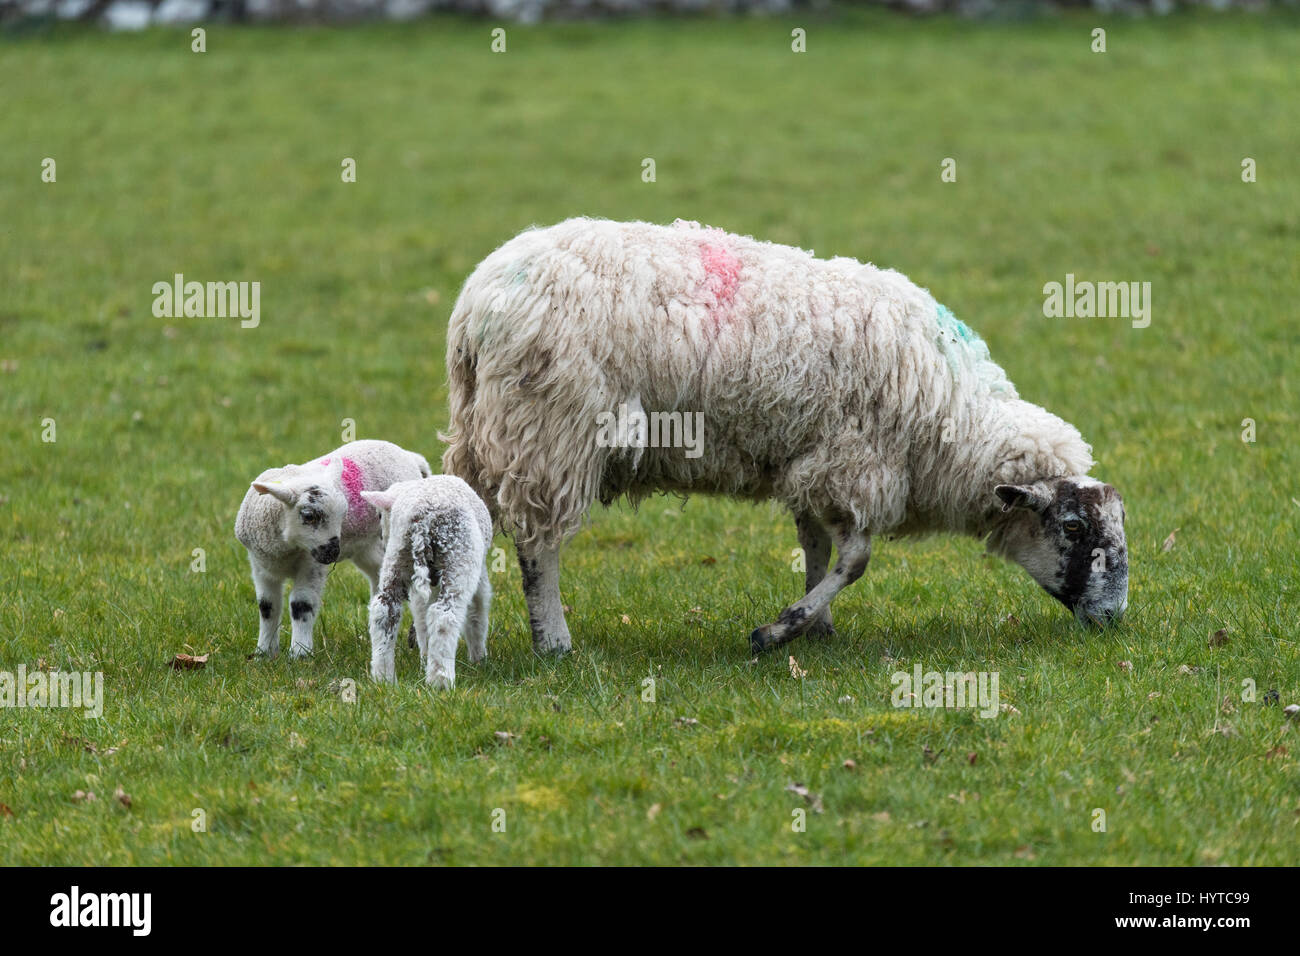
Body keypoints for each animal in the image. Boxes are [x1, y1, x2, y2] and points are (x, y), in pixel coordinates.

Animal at [233, 439, 431, 658]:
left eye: (344, 514)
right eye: (309, 516)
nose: (333, 552)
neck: (284, 549)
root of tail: (411, 457)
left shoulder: (311, 564)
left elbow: (301, 604)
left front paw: (300, 653)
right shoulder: (260, 565)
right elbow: (267, 606)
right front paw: (264, 653)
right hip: (368, 546)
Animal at [361, 473, 491, 686]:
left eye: (380, 516)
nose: (381, 538)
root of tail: (422, 519)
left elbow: (421, 617)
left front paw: (424, 657)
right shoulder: (479, 572)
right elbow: (477, 611)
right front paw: (479, 659)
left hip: (398, 556)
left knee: (385, 611)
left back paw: (384, 678)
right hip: (459, 556)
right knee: (444, 615)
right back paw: (440, 679)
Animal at [439, 214, 1128, 658]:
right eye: (1072, 528)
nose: (1114, 619)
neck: (952, 412)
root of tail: (478, 301)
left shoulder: (814, 461)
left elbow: (816, 545)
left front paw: (817, 628)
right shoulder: (859, 463)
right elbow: (855, 559)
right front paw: (779, 630)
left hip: (487, 429)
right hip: (551, 428)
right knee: (540, 543)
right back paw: (552, 640)